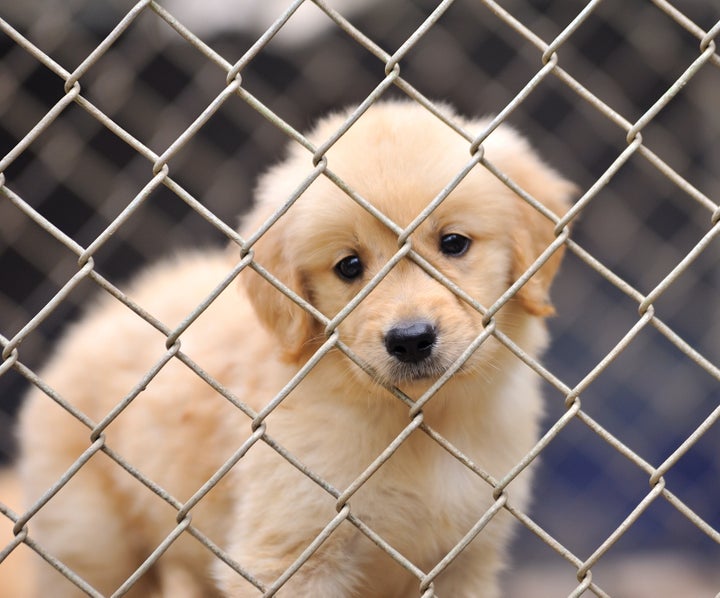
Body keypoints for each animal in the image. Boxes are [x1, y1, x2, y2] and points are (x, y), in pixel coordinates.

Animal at [18, 101, 572, 596]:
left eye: (454, 243)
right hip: (91, 544)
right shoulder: (289, 553)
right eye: (349, 267)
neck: (419, 423)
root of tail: (99, 317)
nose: (411, 340)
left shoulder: (467, 559)